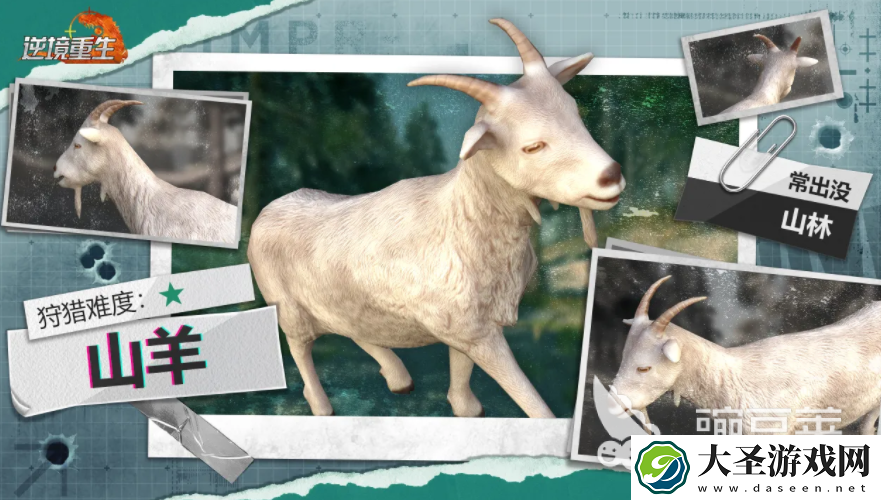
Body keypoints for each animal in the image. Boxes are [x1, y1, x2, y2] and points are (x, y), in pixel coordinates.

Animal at [247, 19, 625, 418]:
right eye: (532, 146)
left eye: (576, 113)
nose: (612, 175)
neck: (463, 217)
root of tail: (271, 208)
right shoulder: (473, 329)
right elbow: (529, 400)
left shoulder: (465, 324)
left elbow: (460, 367)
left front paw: (465, 408)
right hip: (288, 308)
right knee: (300, 349)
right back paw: (322, 406)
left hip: (343, 298)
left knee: (356, 329)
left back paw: (398, 377)